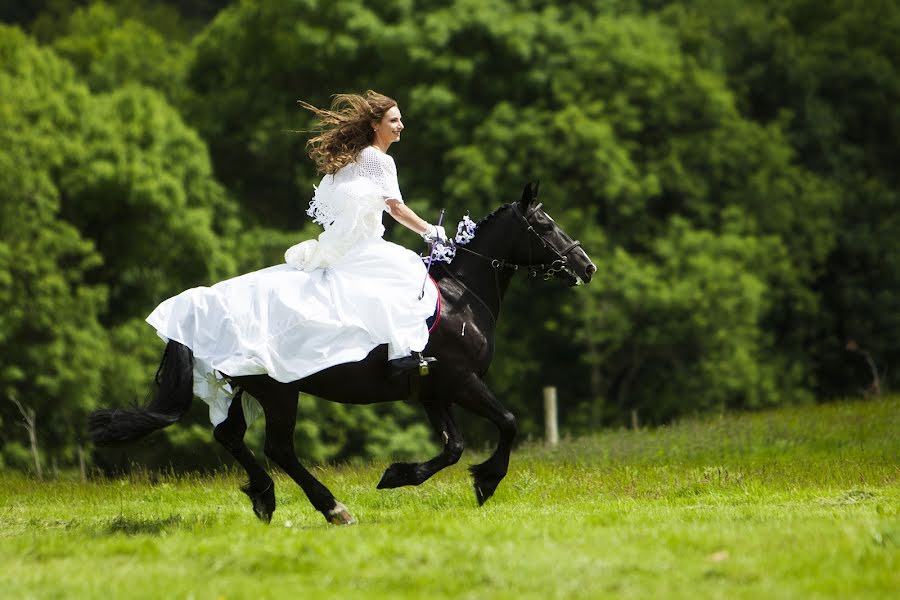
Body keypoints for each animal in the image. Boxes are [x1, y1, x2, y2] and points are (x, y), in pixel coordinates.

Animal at [89, 184, 596, 524]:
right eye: (545, 225)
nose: (586, 266)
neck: (460, 298)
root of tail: (200, 307)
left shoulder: (434, 392)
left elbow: (452, 447)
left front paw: (398, 475)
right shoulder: (462, 381)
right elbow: (507, 423)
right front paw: (486, 481)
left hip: (243, 389)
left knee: (231, 437)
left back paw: (265, 497)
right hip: (279, 391)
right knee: (277, 447)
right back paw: (332, 508)